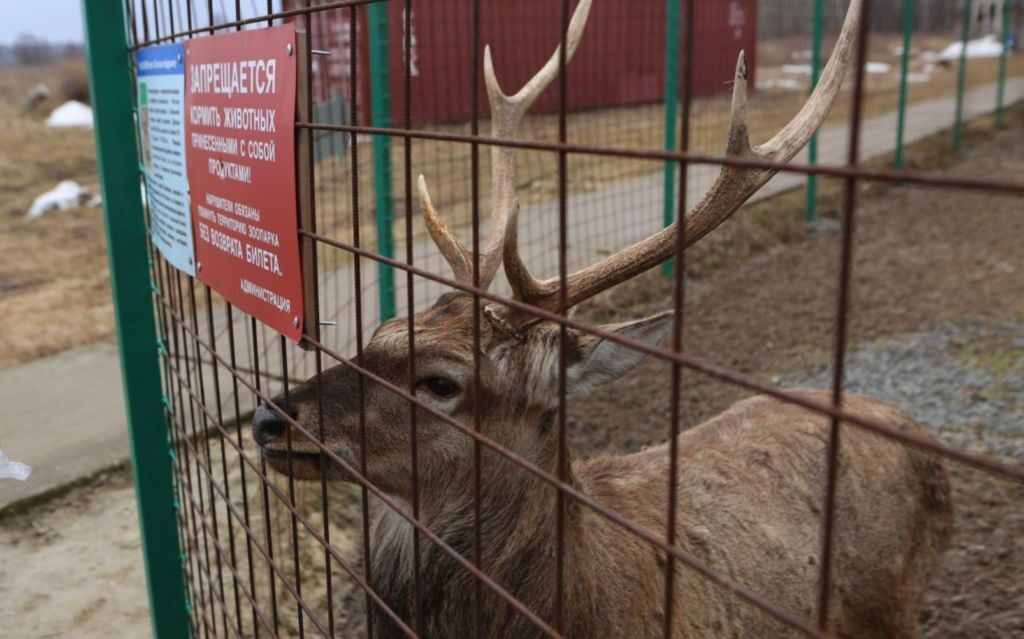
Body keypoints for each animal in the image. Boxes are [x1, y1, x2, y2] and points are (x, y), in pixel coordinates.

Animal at [252, 0, 952, 636]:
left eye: (441, 382)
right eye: (377, 335)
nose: (268, 418)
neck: (581, 609)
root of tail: (922, 437)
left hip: (895, 604)